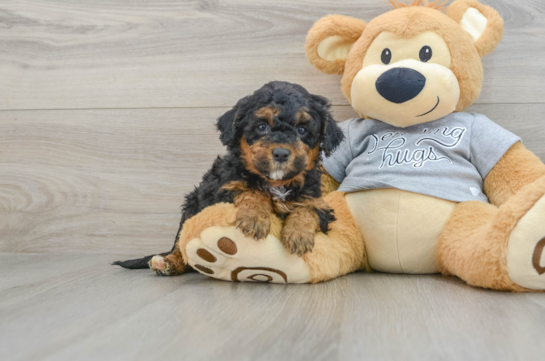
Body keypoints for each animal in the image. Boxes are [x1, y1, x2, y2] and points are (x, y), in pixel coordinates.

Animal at [114, 80, 342, 274]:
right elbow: (251, 190)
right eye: (262, 126)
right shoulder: (222, 190)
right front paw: (254, 218)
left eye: (302, 129)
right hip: (191, 208)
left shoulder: (319, 202)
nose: (281, 153)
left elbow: (308, 209)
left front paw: (298, 234)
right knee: (181, 246)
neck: (275, 182)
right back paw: (169, 262)